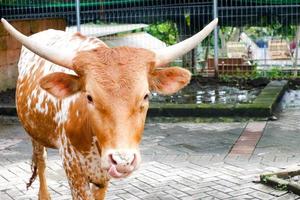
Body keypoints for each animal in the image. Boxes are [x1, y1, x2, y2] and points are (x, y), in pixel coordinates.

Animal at [1, 18, 218, 199]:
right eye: (89, 97)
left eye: (146, 95)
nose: (122, 161)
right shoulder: (74, 172)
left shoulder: (102, 177)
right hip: (34, 133)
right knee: (41, 161)